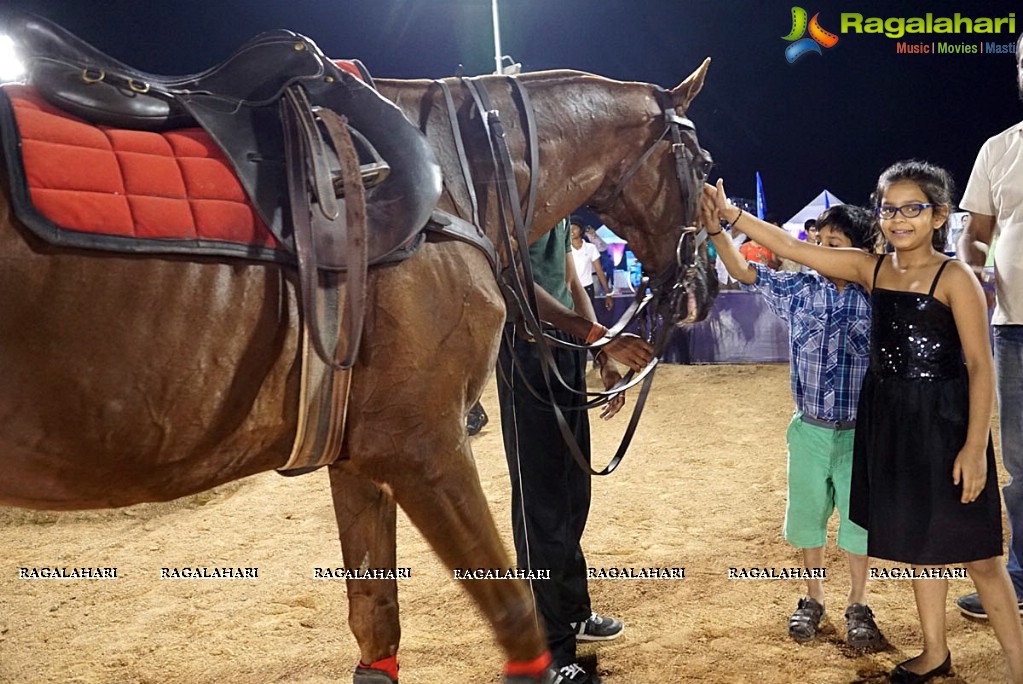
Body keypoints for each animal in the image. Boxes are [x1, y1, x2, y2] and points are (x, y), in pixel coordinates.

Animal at [0, 61, 716, 678]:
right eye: (705, 166)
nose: (703, 291)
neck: (451, 173)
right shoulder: (423, 448)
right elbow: (517, 618)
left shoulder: (357, 457)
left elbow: (375, 622)